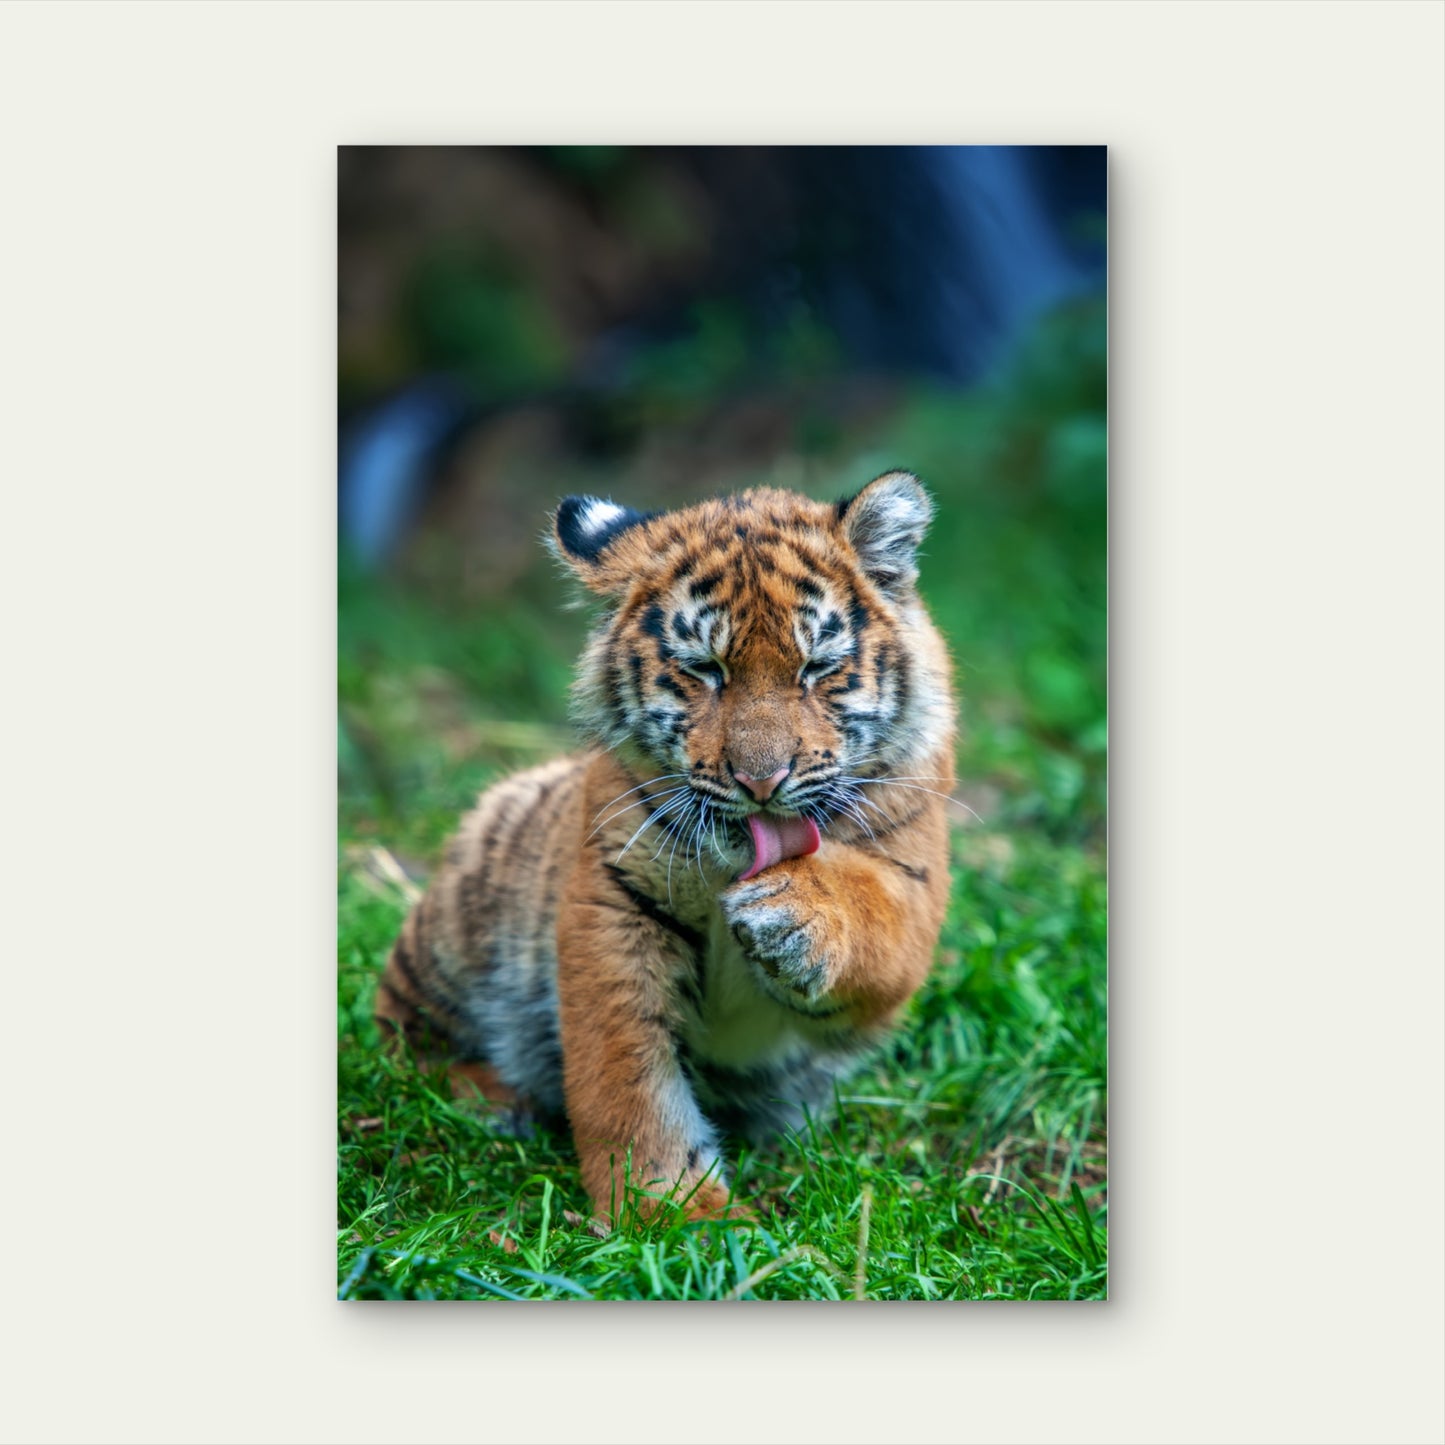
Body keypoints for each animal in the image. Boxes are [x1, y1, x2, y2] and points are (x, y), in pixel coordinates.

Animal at [374, 469, 957, 1226]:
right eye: (703, 669)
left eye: (817, 667)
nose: (761, 779)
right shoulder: (612, 902)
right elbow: (627, 1076)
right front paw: (673, 1214)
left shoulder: (917, 888)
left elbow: (872, 917)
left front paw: (792, 914)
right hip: (459, 918)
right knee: (400, 1041)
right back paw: (495, 1099)